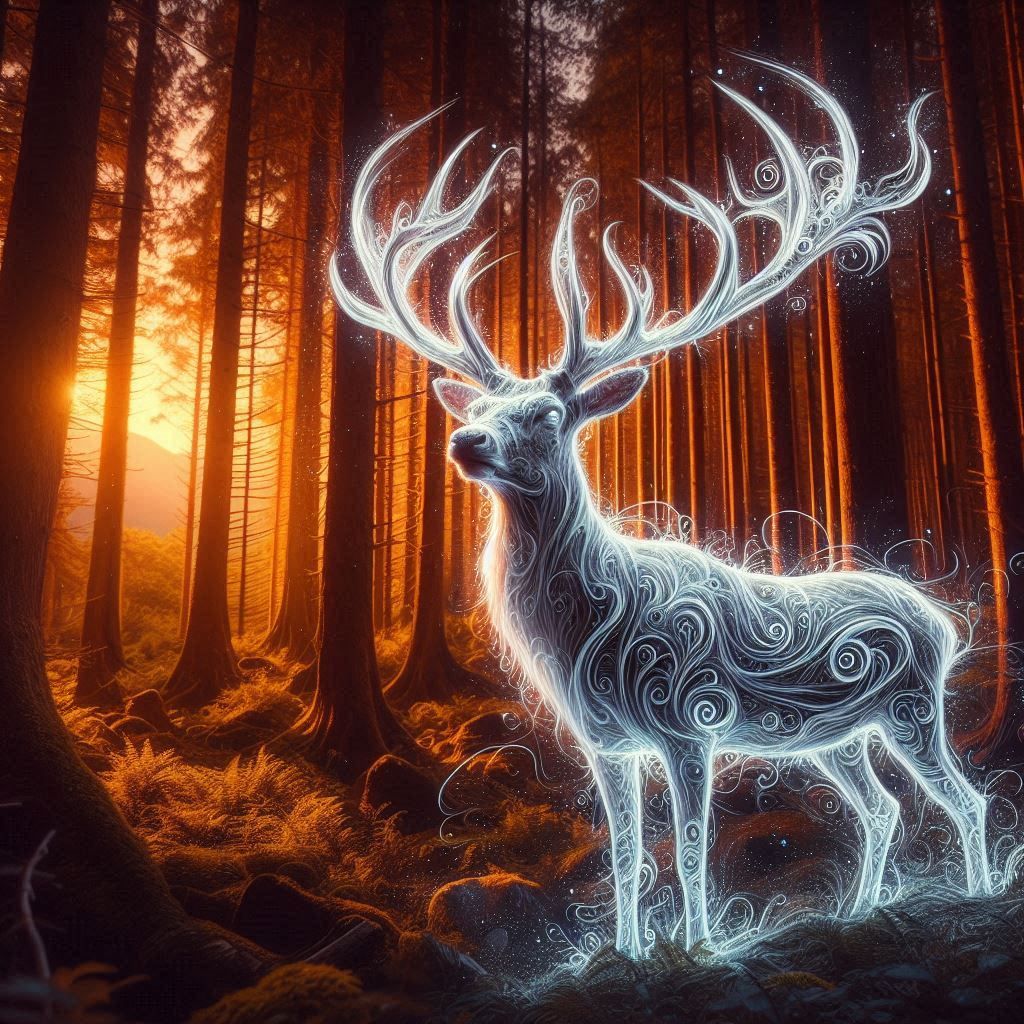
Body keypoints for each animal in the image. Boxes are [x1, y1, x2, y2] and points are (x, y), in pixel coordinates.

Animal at [330, 55, 992, 957]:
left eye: (547, 414)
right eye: (479, 409)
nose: (465, 443)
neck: (586, 632)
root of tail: (947, 622)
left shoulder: (688, 717)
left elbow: (689, 845)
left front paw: (701, 948)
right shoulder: (605, 741)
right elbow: (624, 854)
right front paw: (628, 950)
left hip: (911, 706)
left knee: (968, 797)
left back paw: (978, 893)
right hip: (837, 738)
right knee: (883, 809)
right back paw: (859, 911)